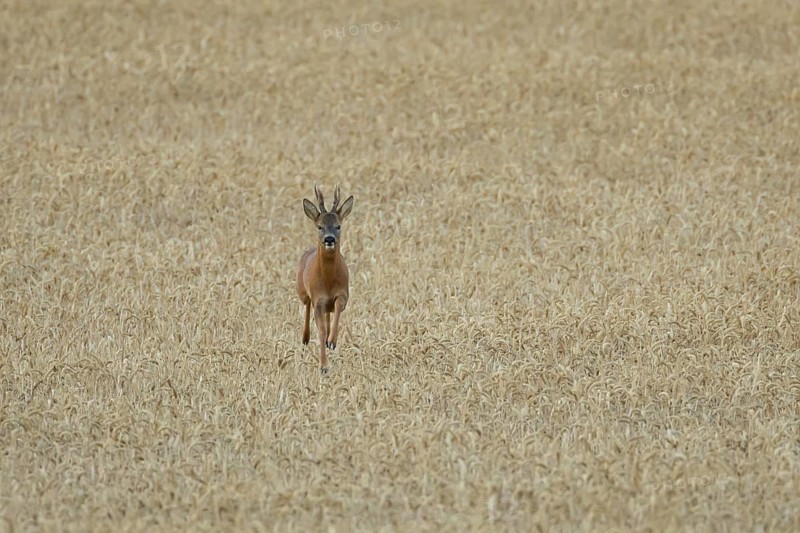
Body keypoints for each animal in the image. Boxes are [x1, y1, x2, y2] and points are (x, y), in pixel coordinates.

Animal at [296, 184, 355, 374]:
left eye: (338, 226)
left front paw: (332, 341)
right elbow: (320, 331)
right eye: (320, 227)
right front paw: (323, 366)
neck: (328, 282)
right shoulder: (318, 300)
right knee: (307, 308)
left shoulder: (343, 294)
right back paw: (305, 338)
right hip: (302, 292)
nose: (329, 239)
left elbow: (337, 312)